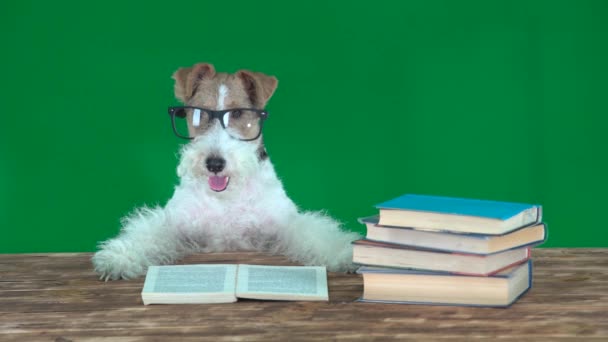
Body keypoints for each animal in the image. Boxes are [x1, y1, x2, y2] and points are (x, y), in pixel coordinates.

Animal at [91, 62, 360, 280]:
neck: (226, 198)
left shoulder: (284, 224)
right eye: (199, 113)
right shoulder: (176, 224)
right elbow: (148, 232)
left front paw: (346, 254)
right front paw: (119, 257)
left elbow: (316, 232)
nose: (214, 164)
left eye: (239, 112)